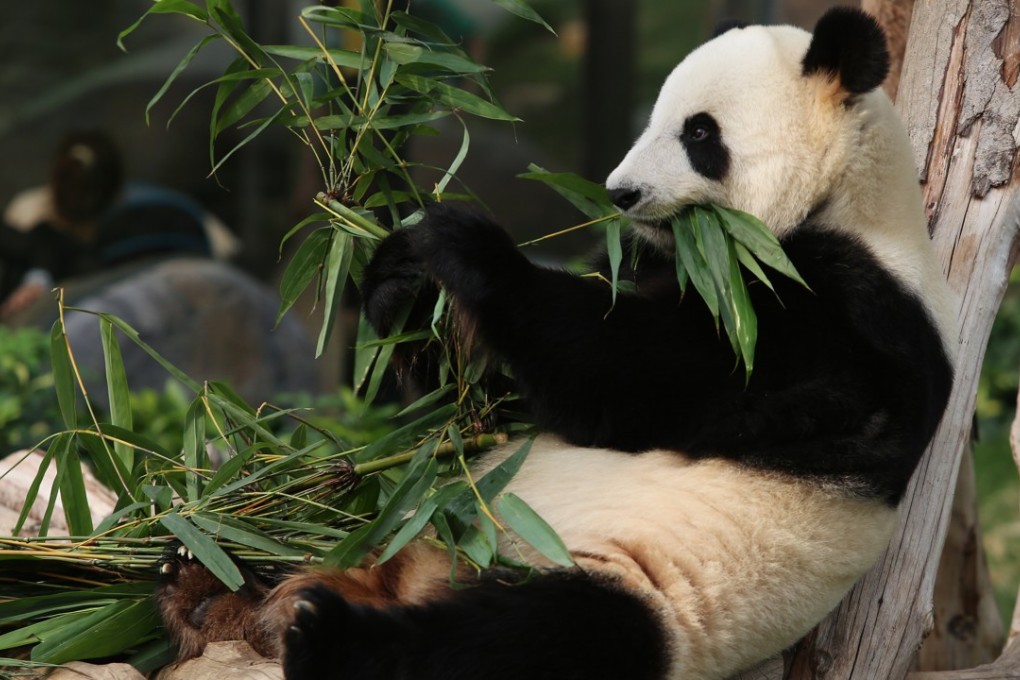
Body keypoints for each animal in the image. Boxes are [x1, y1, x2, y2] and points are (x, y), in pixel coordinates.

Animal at [156, 7, 956, 680]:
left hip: (632, 589)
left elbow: (637, 376)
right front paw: (400, 278)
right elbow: (495, 399)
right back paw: (207, 573)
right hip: (397, 523)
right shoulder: (653, 261)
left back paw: (319, 633)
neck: (848, 202)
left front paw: (466, 245)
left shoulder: (839, 324)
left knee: (530, 636)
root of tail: (423, 573)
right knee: (334, 524)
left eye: (699, 133)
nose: (621, 194)